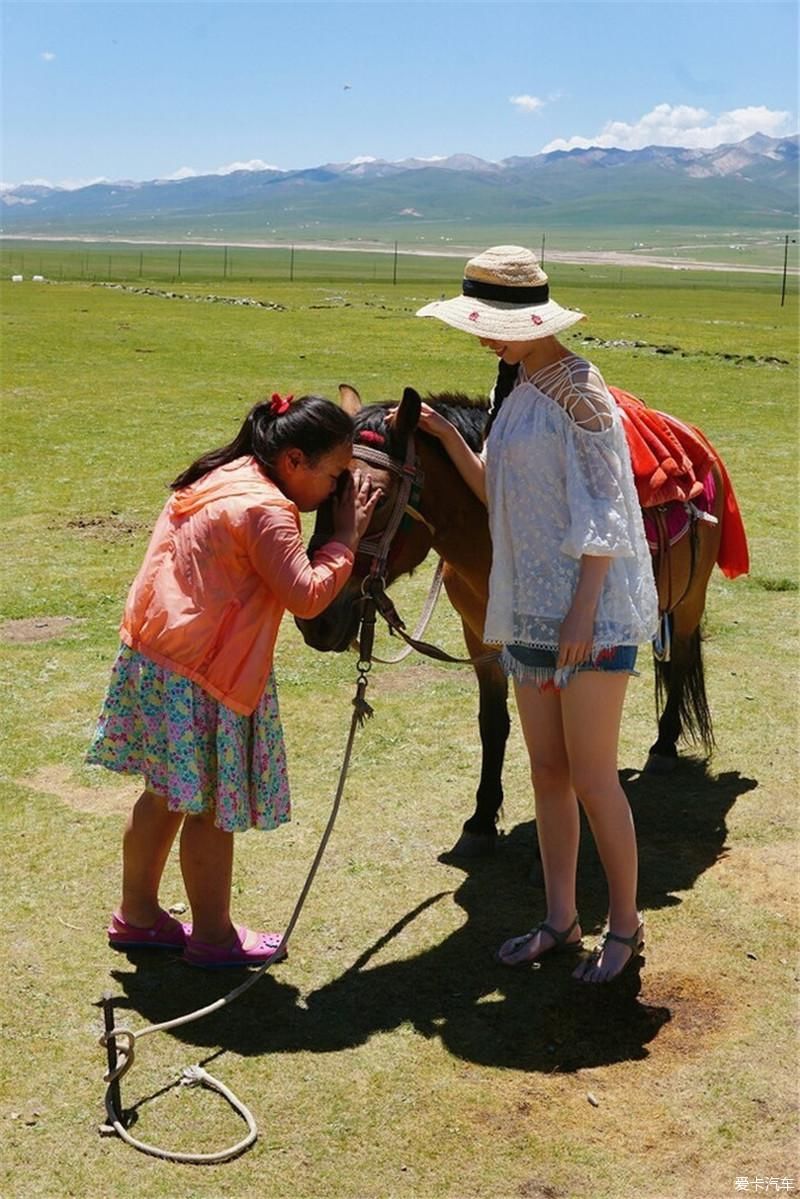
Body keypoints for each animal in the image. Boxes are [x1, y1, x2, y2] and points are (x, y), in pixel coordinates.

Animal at [297, 383, 729, 853]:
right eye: (325, 491)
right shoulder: (480, 638)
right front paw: (482, 818)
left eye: (375, 498)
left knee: (681, 660)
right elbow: (494, 723)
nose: (316, 621)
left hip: (689, 601)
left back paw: (664, 746)